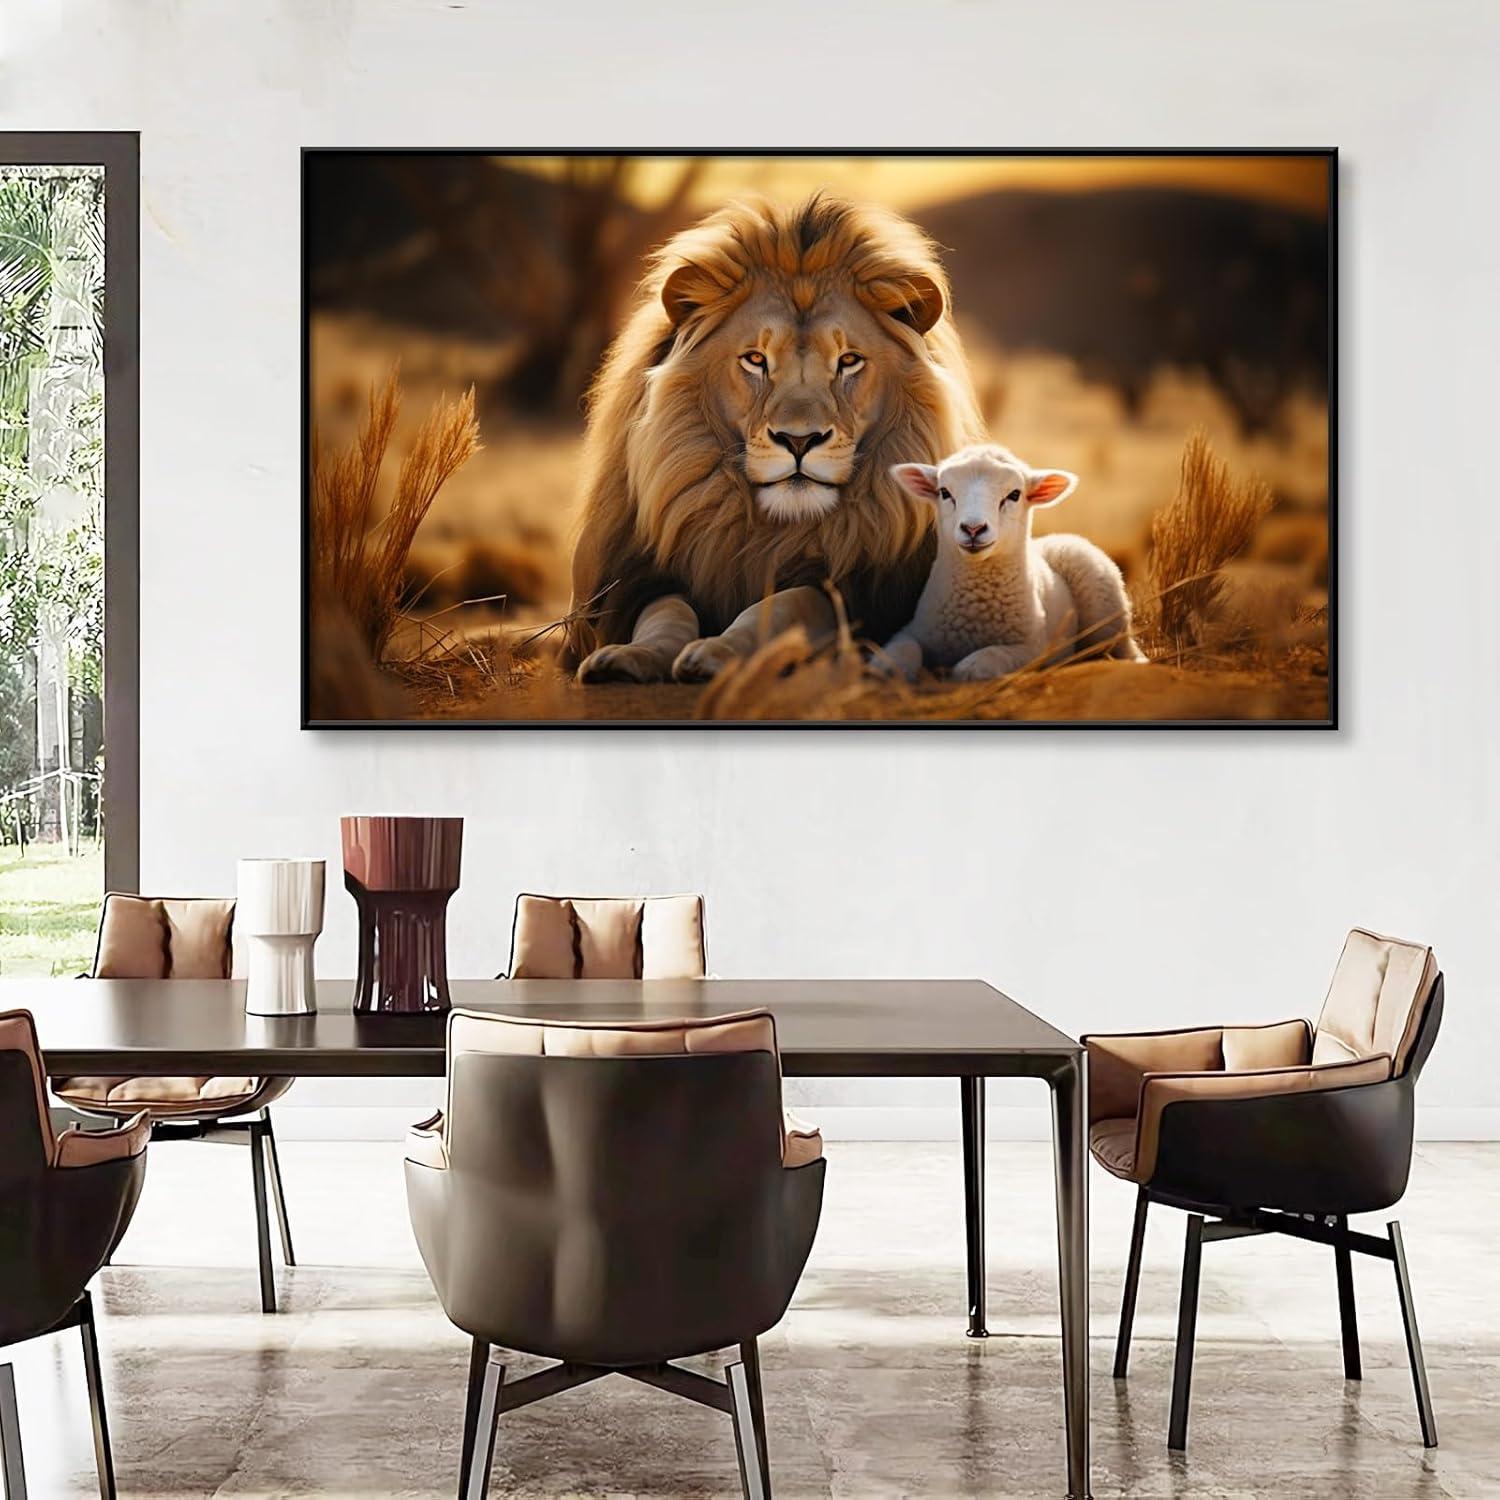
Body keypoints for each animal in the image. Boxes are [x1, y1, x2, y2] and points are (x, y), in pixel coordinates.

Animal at [563, 193, 987, 683]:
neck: (774, 529)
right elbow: (666, 613)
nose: (799, 440)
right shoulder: (640, 576)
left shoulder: (864, 593)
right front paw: (627, 658)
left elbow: (783, 605)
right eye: (755, 359)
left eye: (849, 361)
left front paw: (718, 651)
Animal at [881, 444, 1147, 681]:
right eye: (944, 492)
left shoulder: (1033, 649)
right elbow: (903, 648)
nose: (973, 528)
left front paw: (969, 668)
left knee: (1121, 647)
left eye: (1014, 495)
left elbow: (991, 656)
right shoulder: (912, 631)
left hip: (1106, 611)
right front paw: (886, 669)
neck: (975, 610)